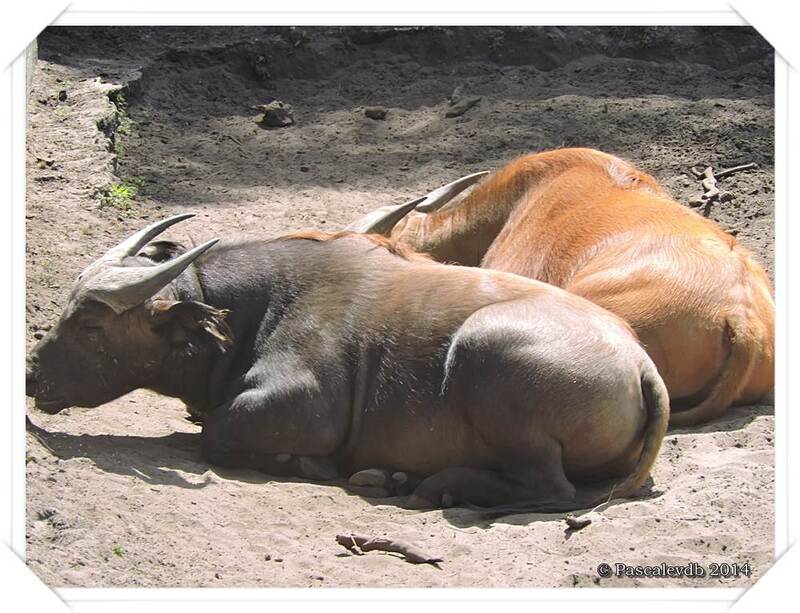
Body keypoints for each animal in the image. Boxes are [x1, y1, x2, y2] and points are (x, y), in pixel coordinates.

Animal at [26, 213, 668, 510]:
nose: (30, 373)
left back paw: (433, 484)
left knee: (550, 488)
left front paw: (305, 464)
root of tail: (640, 364)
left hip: (483, 348)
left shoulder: (303, 404)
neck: (253, 307)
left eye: (89, 324)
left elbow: (216, 433)